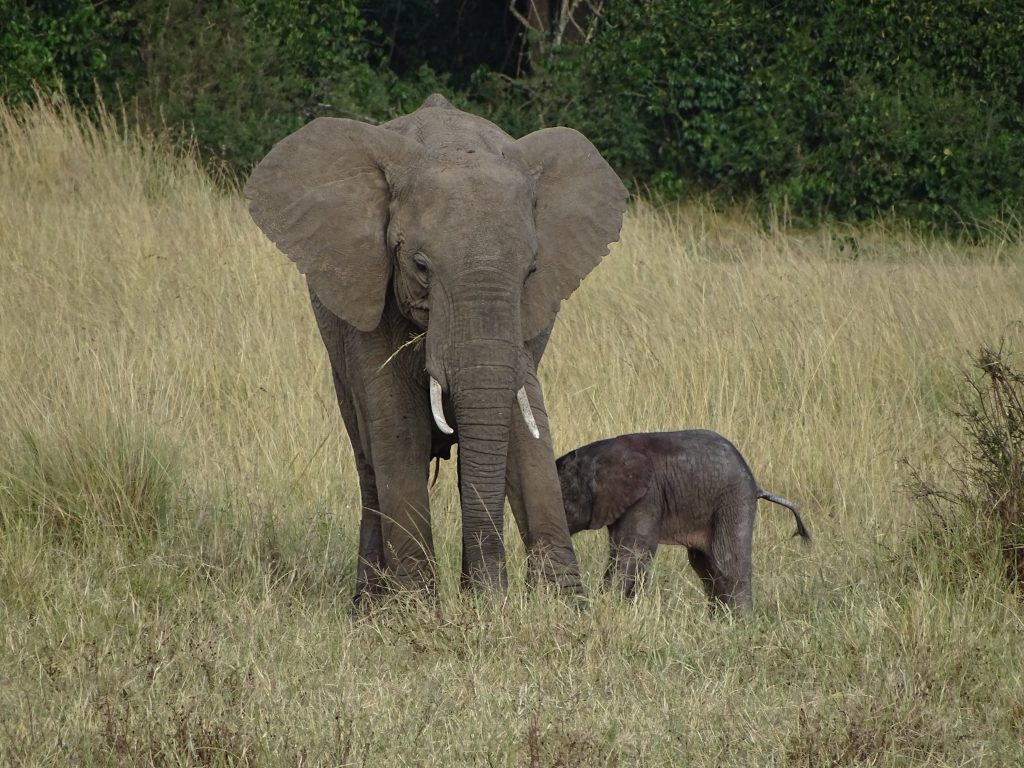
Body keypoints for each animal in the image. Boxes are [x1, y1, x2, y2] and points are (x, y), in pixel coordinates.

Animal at [246, 94, 626, 602]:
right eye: (421, 266)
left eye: (531, 270)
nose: (492, 594)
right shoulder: (367, 288)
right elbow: (397, 423)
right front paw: (419, 607)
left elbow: (523, 423)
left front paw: (559, 606)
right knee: (368, 459)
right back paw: (372, 607)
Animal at [557, 434, 811, 614]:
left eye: (564, 499)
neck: (598, 455)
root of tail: (757, 485)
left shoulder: (647, 496)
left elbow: (632, 553)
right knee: (705, 565)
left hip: (734, 499)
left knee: (726, 561)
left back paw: (740, 625)